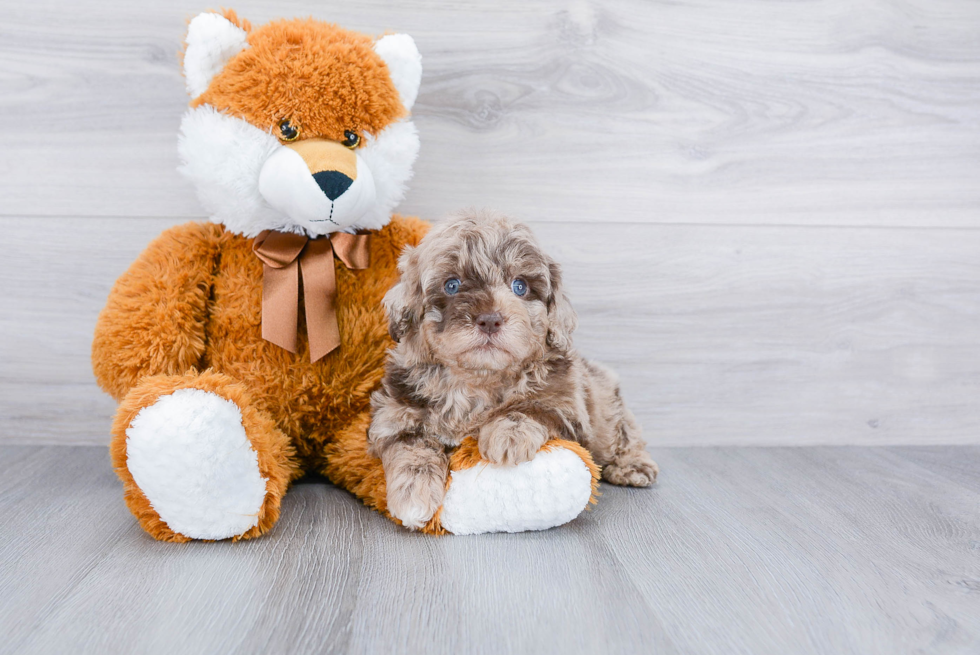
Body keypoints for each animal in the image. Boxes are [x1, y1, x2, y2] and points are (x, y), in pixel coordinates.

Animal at [370, 213, 660, 532]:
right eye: (452, 285)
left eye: (519, 286)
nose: (490, 320)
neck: (478, 379)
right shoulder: (395, 414)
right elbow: (411, 448)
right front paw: (413, 495)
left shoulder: (566, 406)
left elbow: (530, 408)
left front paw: (508, 435)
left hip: (607, 400)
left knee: (625, 433)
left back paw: (632, 466)